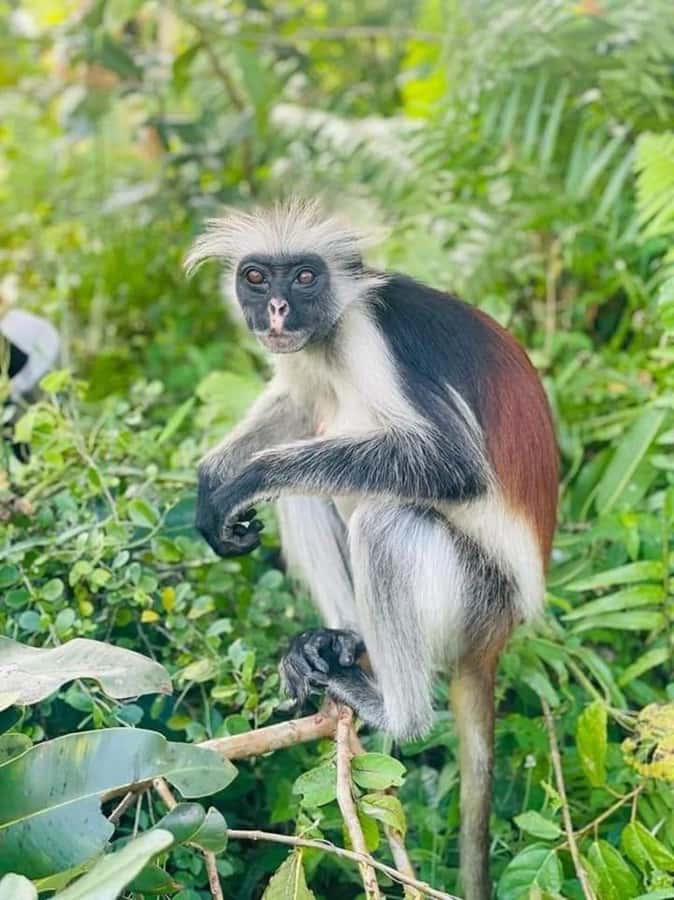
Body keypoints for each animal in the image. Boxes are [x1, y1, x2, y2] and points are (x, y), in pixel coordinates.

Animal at [185, 199, 558, 900]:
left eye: (305, 277)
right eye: (256, 278)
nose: (277, 310)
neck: (331, 337)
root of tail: (497, 637)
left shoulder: (374, 335)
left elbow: (452, 467)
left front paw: (244, 478)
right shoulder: (303, 356)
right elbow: (298, 401)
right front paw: (212, 478)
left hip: (475, 596)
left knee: (387, 519)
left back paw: (392, 708)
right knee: (307, 488)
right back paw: (339, 643)